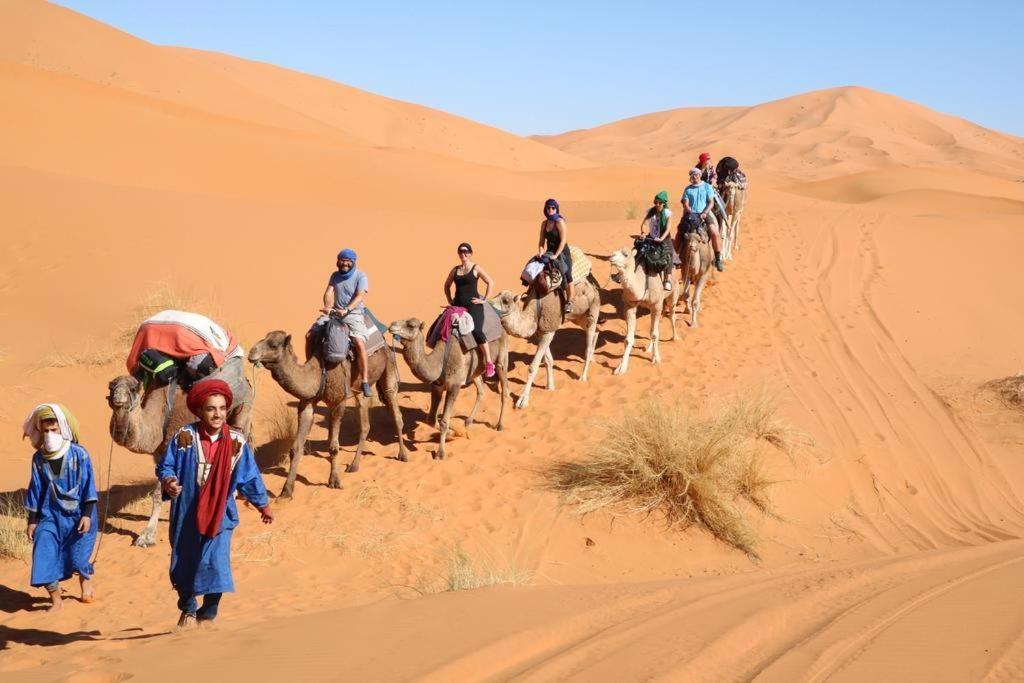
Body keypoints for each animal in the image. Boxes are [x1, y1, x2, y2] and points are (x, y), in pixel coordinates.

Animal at [105, 370, 253, 548]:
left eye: (133, 389)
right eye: (111, 387)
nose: (118, 398)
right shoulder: (161, 455)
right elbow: (159, 493)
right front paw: (148, 536)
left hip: (242, 412)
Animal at [246, 331, 407, 497]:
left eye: (273, 345)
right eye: (263, 338)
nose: (251, 353)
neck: (318, 373)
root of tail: (386, 345)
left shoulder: (338, 402)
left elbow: (333, 447)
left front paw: (334, 481)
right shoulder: (307, 403)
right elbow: (296, 448)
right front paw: (286, 491)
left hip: (389, 370)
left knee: (396, 413)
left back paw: (402, 455)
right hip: (360, 389)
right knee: (365, 424)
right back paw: (354, 466)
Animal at [387, 317, 507, 462]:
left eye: (411, 325)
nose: (392, 325)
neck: (439, 363)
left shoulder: (454, 386)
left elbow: (444, 421)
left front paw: (440, 453)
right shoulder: (437, 386)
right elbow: (431, 419)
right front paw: (455, 433)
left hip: (501, 359)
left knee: (504, 389)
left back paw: (500, 425)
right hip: (474, 371)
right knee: (481, 390)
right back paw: (468, 422)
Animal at [489, 274, 598, 409]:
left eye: (505, 301)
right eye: (497, 294)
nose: (488, 303)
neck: (534, 313)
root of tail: (593, 286)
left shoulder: (548, 331)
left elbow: (533, 367)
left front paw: (522, 401)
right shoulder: (540, 332)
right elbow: (548, 360)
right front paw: (550, 386)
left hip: (593, 310)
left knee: (589, 340)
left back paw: (583, 377)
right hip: (578, 318)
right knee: (594, 333)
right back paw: (593, 359)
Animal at [602, 246, 675, 376]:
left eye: (625, 254)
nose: (611, 257)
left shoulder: (656, 304)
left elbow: (655, 334)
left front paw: (656, 358)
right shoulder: (630, 305)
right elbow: (628, 339)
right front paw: (621, 368)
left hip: (672, 293)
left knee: (672, 315)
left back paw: (675, 337)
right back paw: (649, 348)